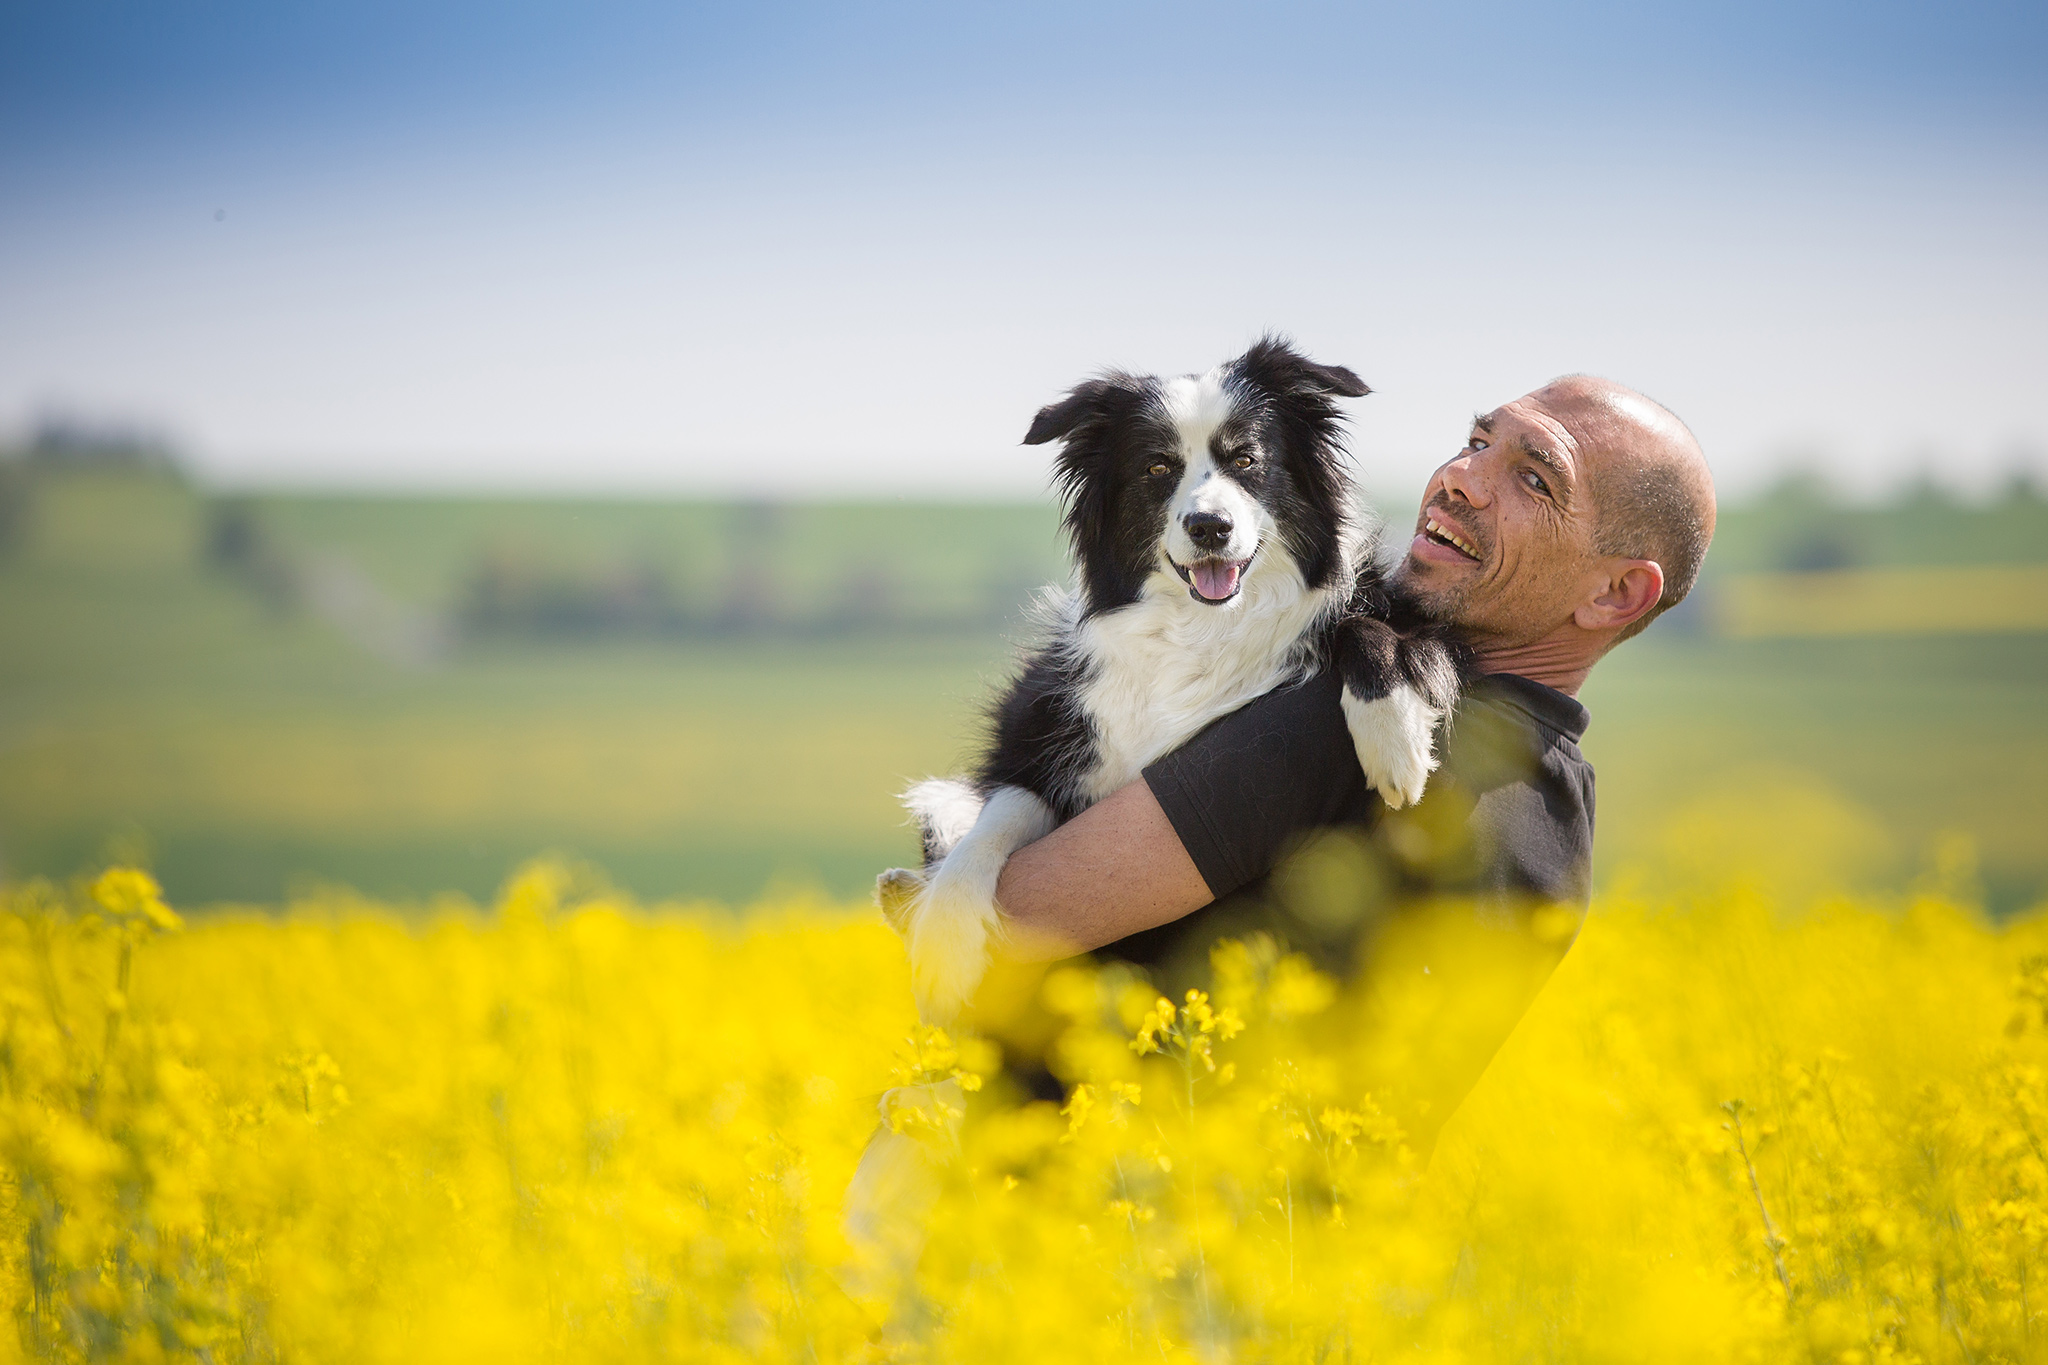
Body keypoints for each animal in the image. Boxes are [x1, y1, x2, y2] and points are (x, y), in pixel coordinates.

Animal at [888, 339, 1466, 1023]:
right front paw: (945, 945)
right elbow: (993, 818)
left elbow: (1367, 626)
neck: (1202, 628)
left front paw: (1395, 739)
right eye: (1157, 467)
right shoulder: (1041, 741)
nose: (1209, 527)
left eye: (1245, 459)